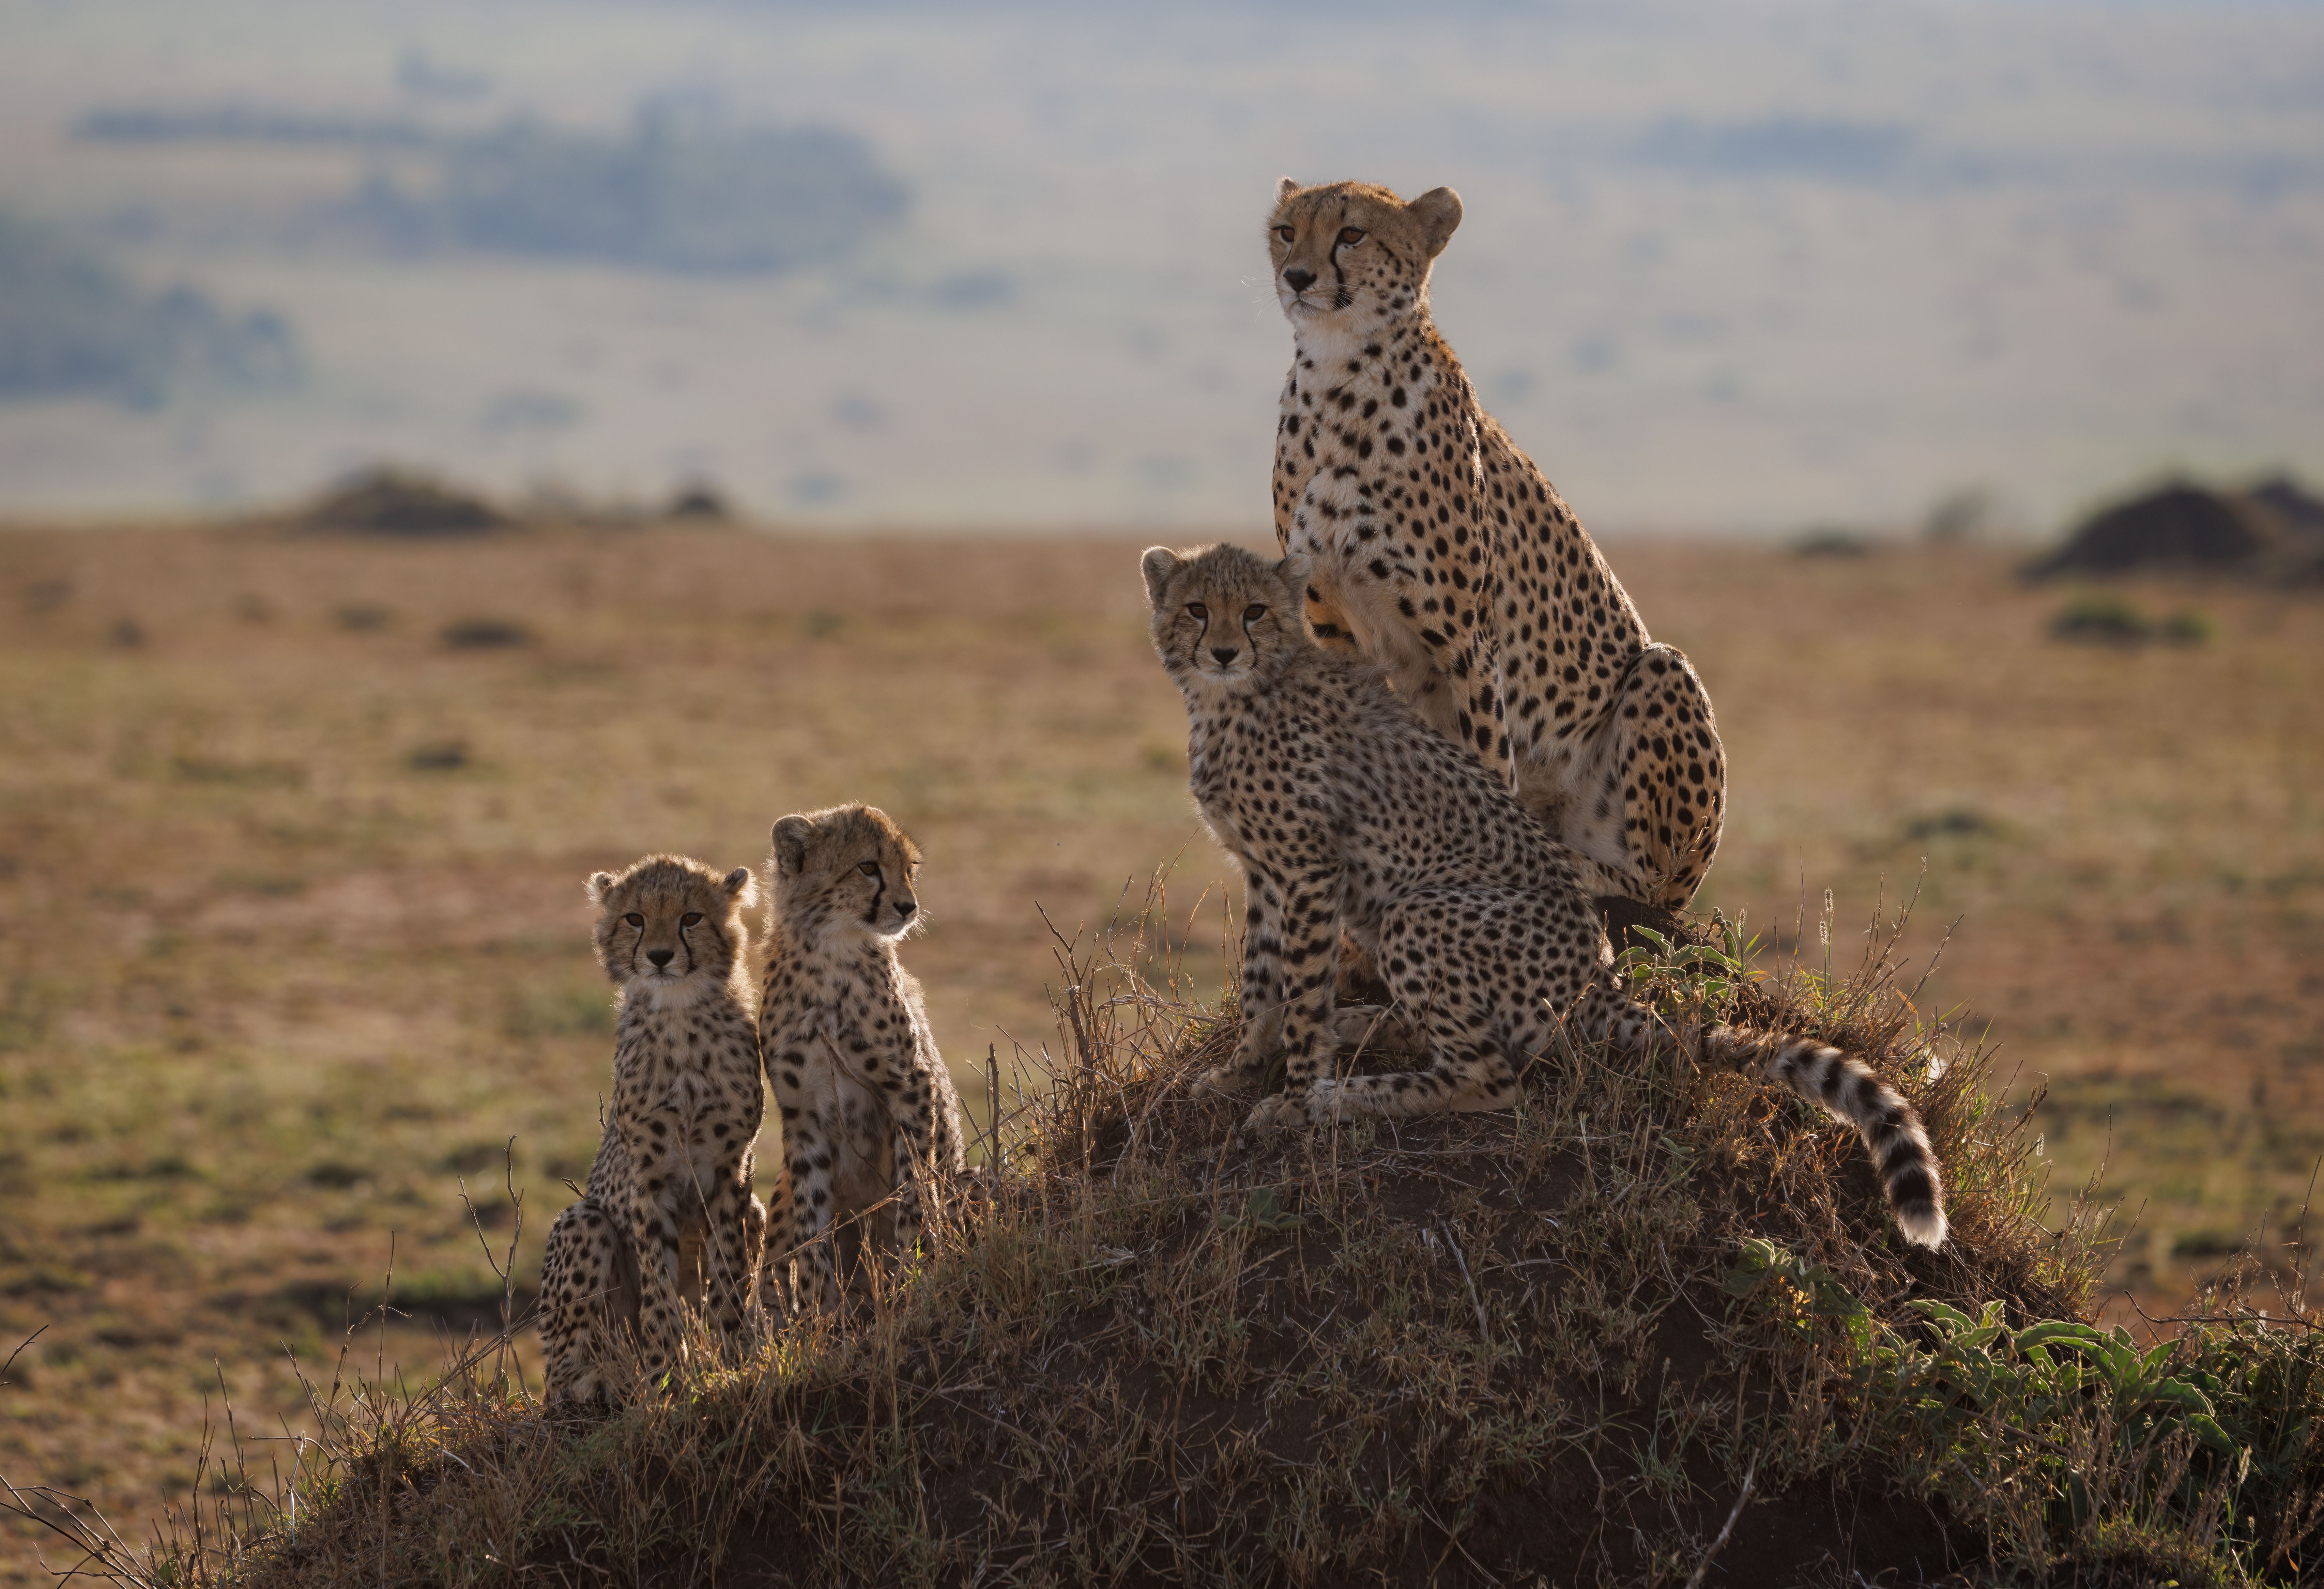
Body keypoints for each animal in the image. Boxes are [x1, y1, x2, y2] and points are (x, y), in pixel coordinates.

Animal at [538, 854, 768, 1407]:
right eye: (635, 919)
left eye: (691, 918)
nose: (661, 956)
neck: (679, 1016)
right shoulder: (648, 1179)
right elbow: (659, 1292)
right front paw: (668, 1377)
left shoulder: (732, 1175)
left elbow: (728, 1276)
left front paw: (735, 1361)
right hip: (583, 1221)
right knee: (561, 1369)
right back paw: (598, 1379)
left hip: (756, 1209)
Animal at [758, 804, 966, 1314]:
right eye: (868, 867)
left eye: (910, 868)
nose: (909, 907)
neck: (829, 957)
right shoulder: (803, 1115)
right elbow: (810, 1221)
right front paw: (818, 1311)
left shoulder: (911, 1086)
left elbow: (914, 1187)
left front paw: (915, 1270)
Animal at [1144, 541, 1945, 1248]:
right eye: (1195, 609)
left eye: (1254, 611)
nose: (1223, 651)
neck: (1236, 699)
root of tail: (1596, 975)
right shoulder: (1266, 870)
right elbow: (1260, 983)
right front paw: (1239, 1069)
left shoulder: (1308, 868)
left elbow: (1302, 995)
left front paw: (1295, 1097)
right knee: (1452, 1034)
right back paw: (1361, 1027)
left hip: (1417, 911)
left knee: (1490, 1079)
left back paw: (1348, 1094)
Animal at [1266, 177, 1724, 916]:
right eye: (1285, 231)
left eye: (1352, 234)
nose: (1297, 276)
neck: (1338, 374)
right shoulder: (1331, 625)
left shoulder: (1465, 640)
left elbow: (1485, 756)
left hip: (1662, 678)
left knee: (1649, 887)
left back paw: (1582, 865)